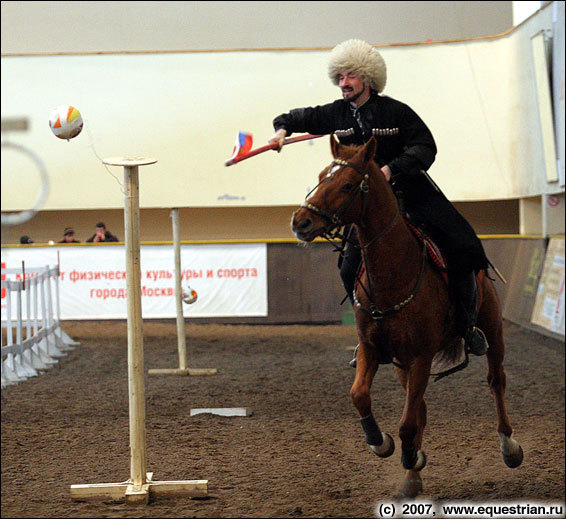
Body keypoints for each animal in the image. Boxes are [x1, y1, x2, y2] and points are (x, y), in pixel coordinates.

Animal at [290, 136, 524, 498]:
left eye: (347, 184)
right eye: (320, 175)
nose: (301, 221)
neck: (393, 272)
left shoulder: (421, 356)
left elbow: (408, 422)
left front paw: (408, 454)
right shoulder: (373, 349)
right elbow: (361, 397)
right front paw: (383, 444)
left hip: (492, 330)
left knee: (495, 381)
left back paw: (509, 446)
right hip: (403, 364)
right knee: (421, 406)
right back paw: (413, 473)